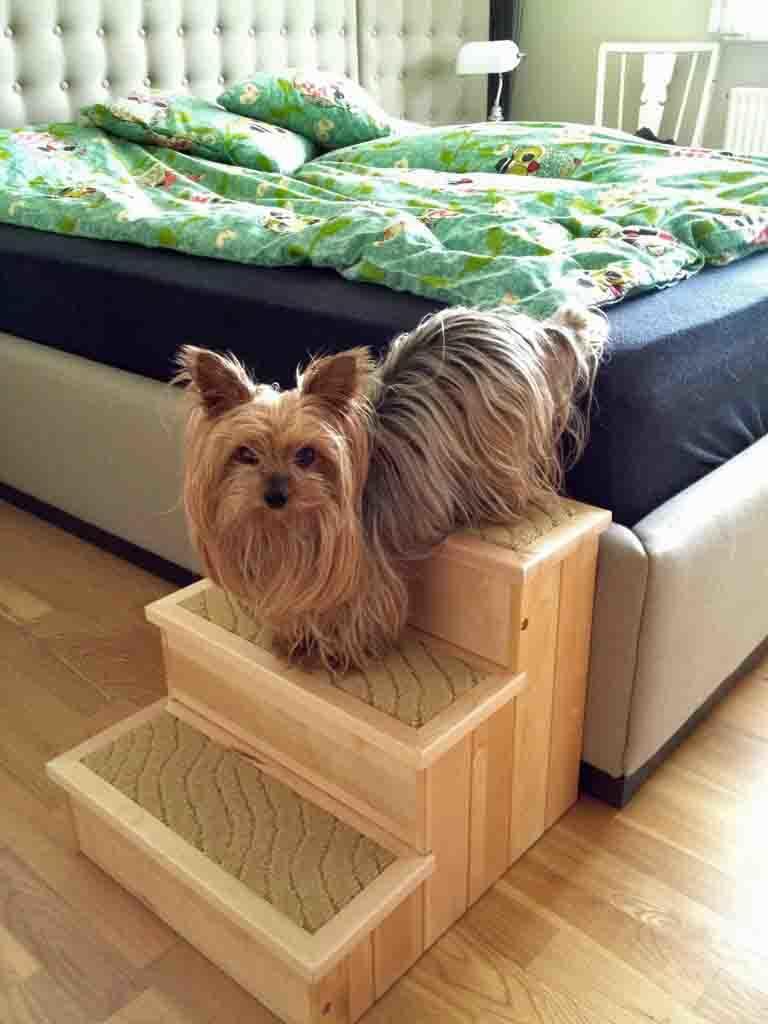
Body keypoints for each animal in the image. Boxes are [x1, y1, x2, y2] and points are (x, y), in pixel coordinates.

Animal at [176, 305, 606, 673]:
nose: (276, 496)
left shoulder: (365, 575)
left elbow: (359, 612)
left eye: (307, 455)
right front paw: (295, 642)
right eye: (245, 454)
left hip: (504, 434)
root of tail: (525, 327)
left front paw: (341, 654)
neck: (289, 529)